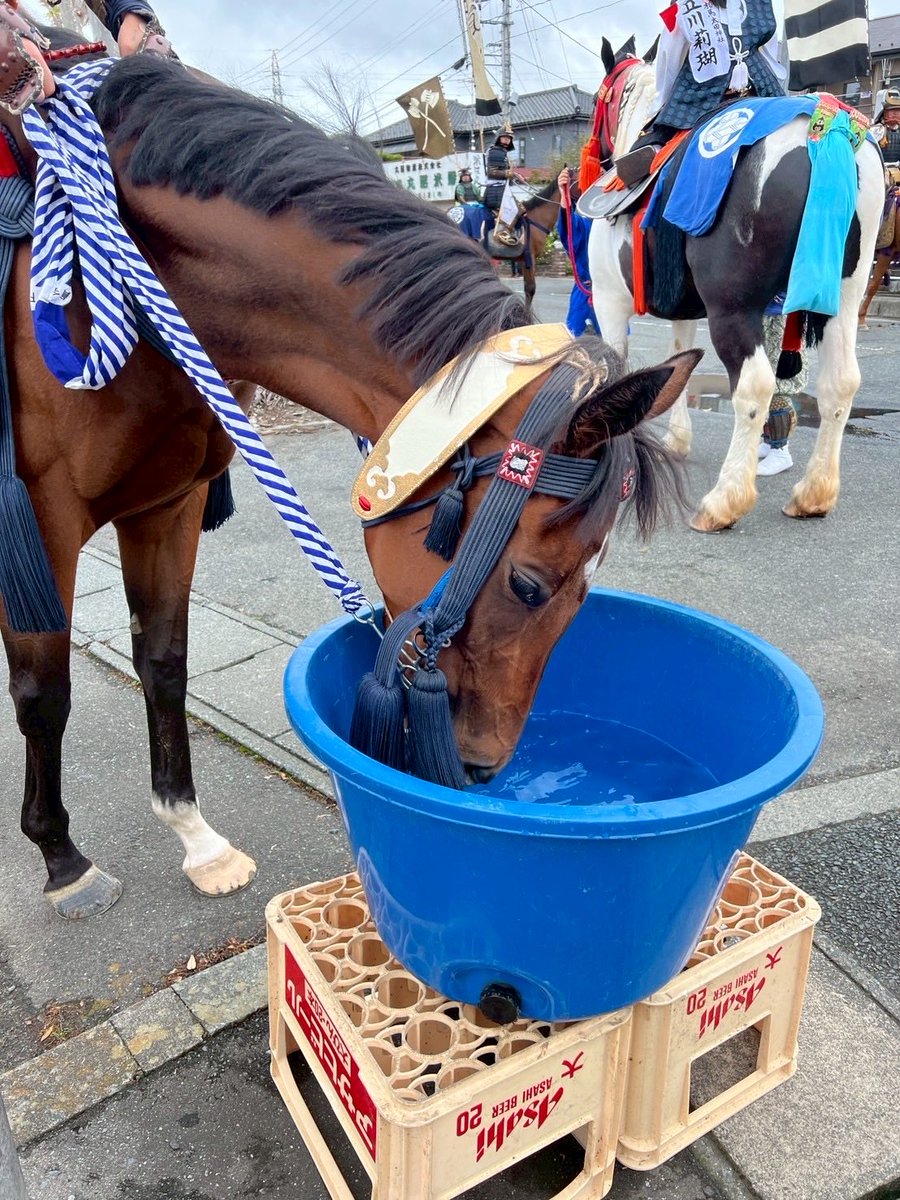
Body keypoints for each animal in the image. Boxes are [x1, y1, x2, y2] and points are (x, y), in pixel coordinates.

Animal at [0, 29, 699, 918]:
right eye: (529, 585)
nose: (483, 770)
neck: (129, 281)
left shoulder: (169, 504)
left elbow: (163, 663)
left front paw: (194, 836)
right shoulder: (40, 518)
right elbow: (43, 692)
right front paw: (62, 857)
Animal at [583, 43, 884, 532]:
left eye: (596, 100)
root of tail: (829, 129)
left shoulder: (610, 302)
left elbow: (620, 368)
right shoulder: (682, 309)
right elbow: (678, 361)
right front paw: (677, 439)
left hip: (733, 306)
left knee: (755, 387)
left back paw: (725, 499)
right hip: (842, 298)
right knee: (840, 383)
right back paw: (814, 494)